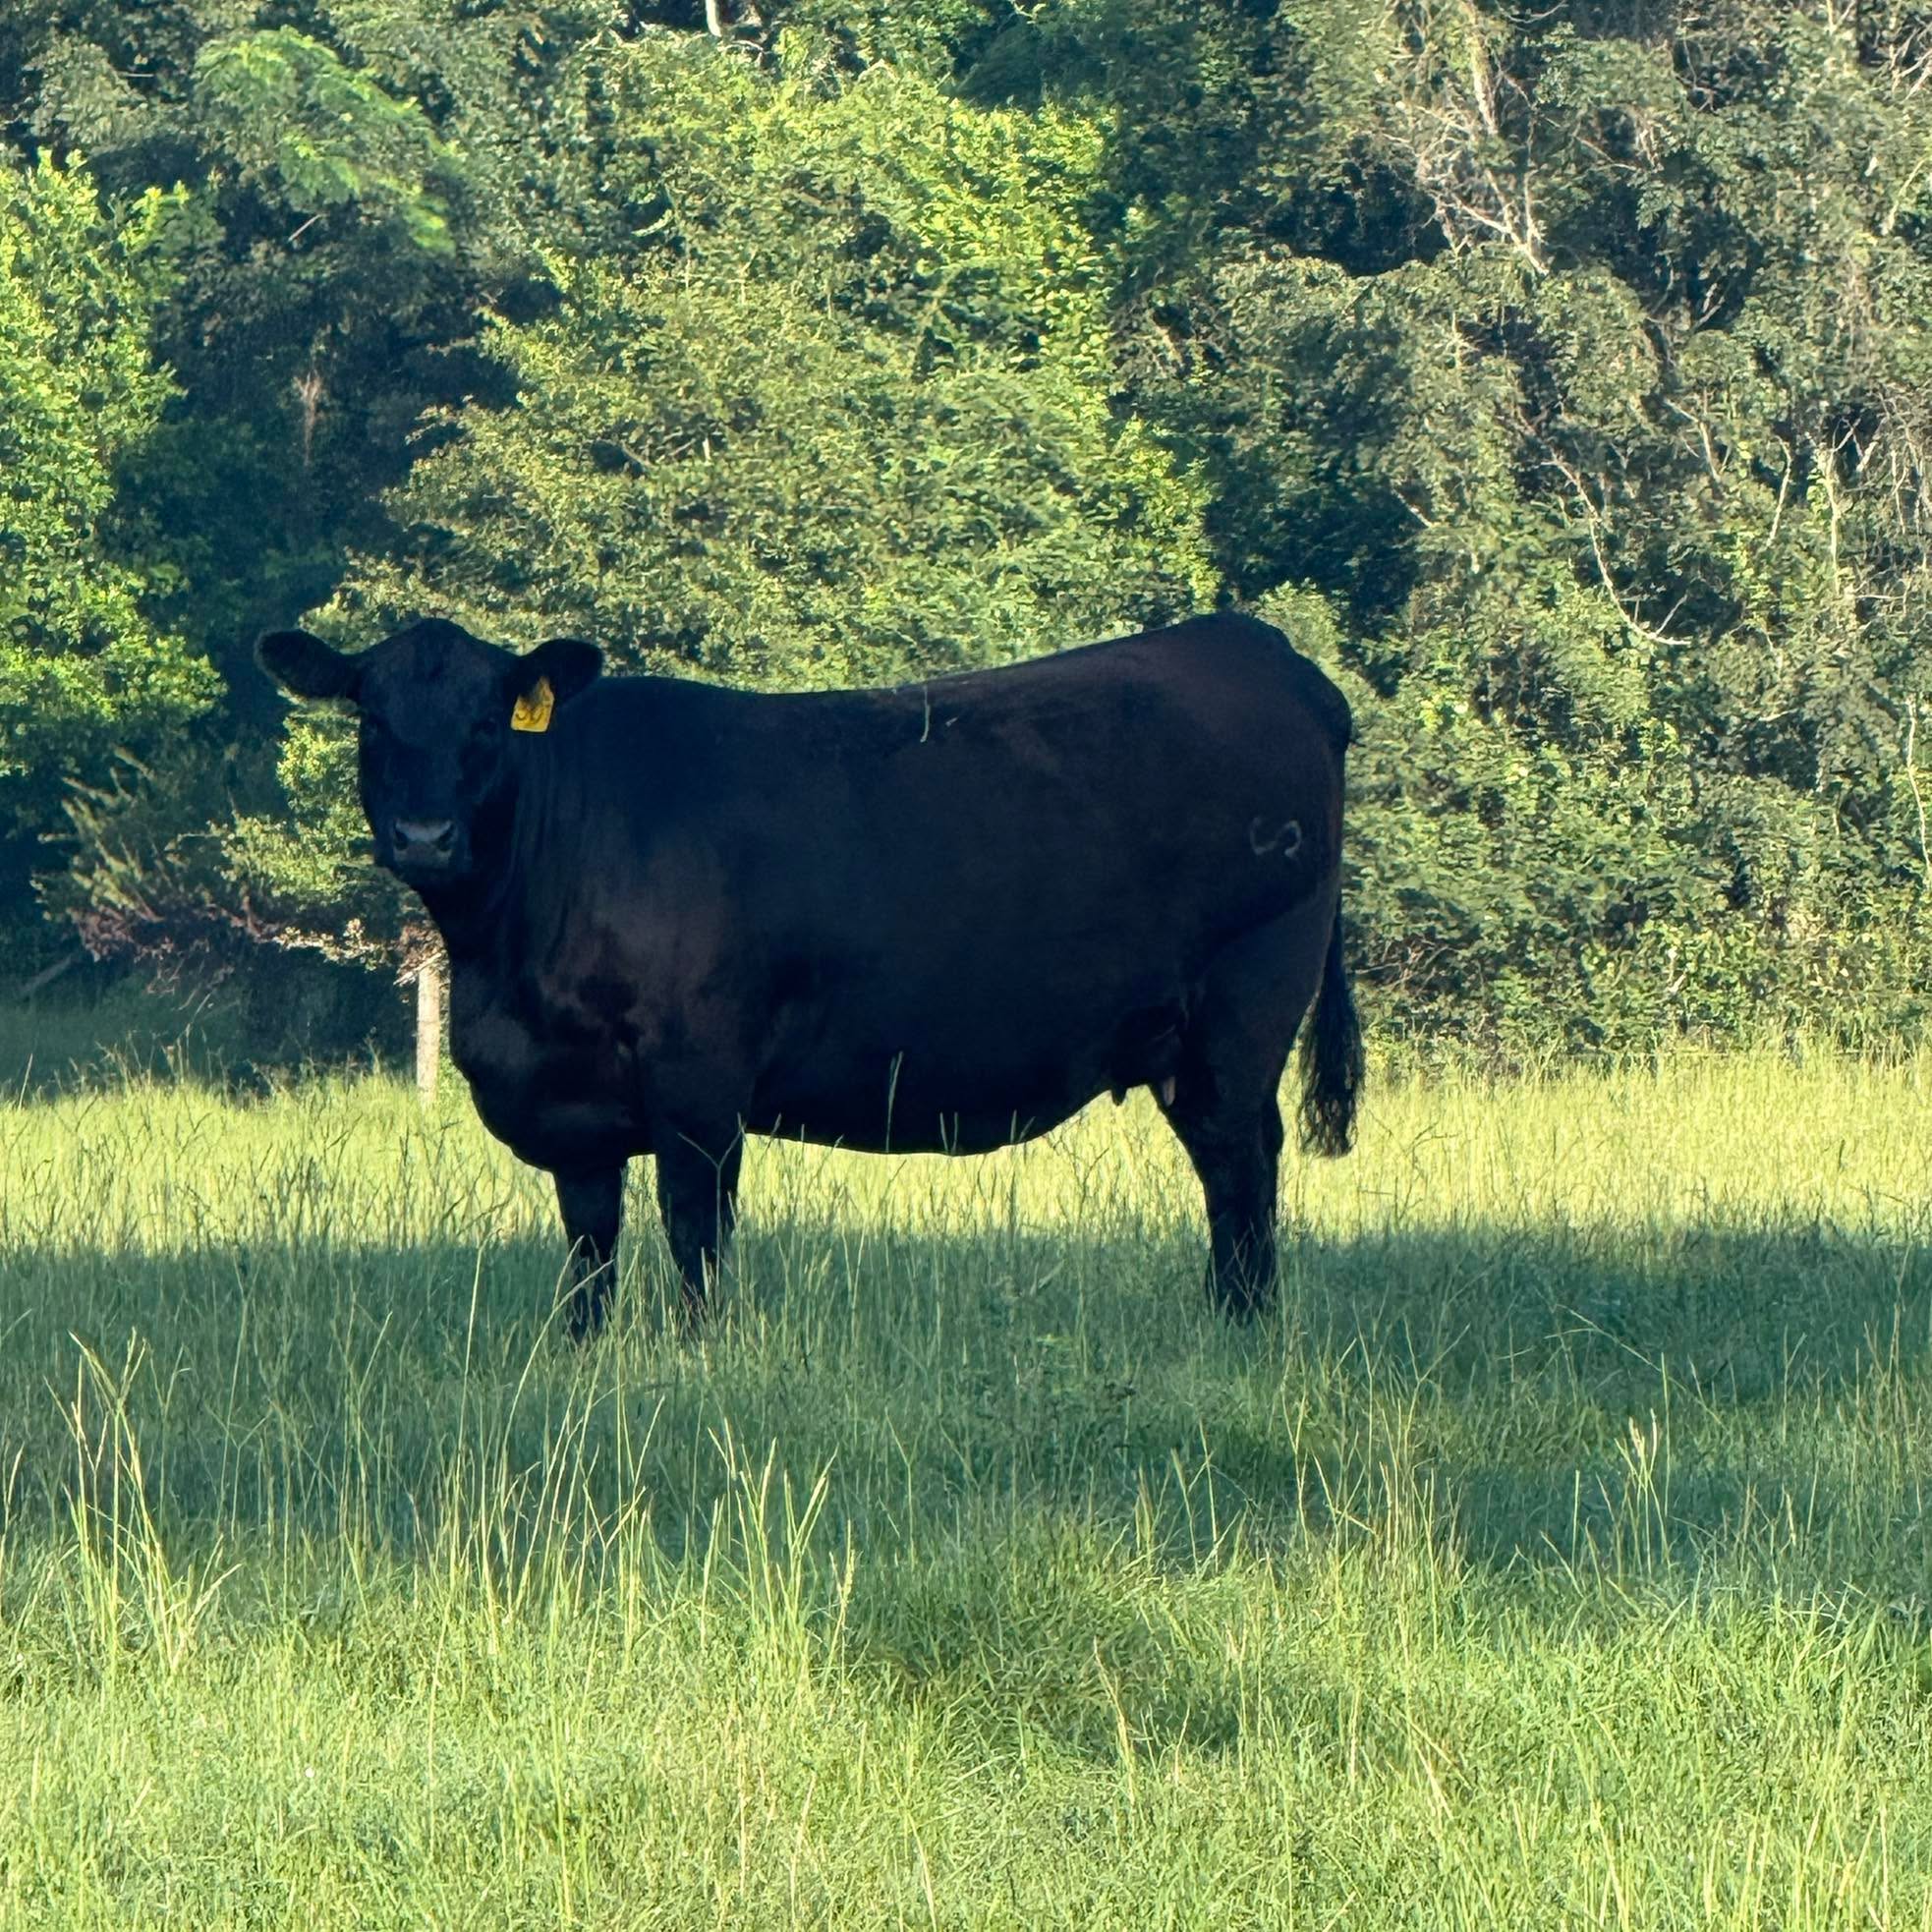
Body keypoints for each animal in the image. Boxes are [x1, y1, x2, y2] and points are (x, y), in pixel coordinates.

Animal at [259, 611, 1363, 1337]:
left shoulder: (699, 1081)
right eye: (371, 719)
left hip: (1245, 1005)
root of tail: (1252, 645)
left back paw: (1242, 1322)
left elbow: (694, 1230)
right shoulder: (572, 1102)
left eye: (487, 723)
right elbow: (589, 1243)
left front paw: (695, 1350)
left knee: (1240, 1160)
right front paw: (579, 1350)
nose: (425, 835)